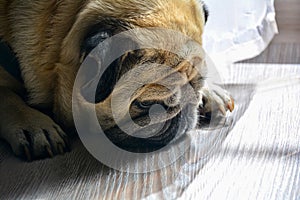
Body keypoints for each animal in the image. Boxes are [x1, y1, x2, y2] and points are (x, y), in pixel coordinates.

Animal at [0, 0, 234, 160]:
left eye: (196, 86)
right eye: (146, 104)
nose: (186, 112)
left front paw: (211, 92)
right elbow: (7, 98)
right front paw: (35, 125)